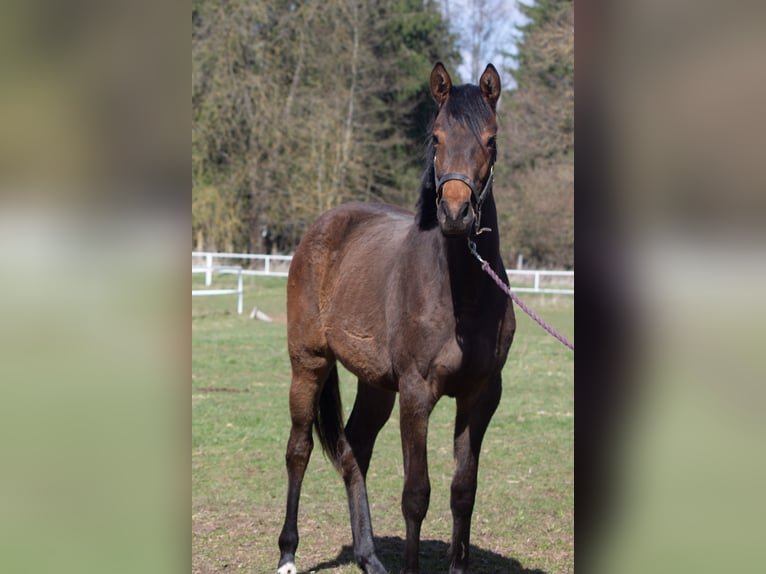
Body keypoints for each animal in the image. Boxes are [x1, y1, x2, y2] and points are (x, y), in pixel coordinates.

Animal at [277, 62, 516, 574]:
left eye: (491, 140)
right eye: (436, 136)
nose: (455, 213)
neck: (460, 292)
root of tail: (323, 227)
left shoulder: (482, 396)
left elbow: (463, 492)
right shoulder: (416, 394)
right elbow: (416, 495)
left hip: (375, 385)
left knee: (354, 451)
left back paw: (368, 556)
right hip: (309, 364)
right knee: (299, 450)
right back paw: (287, 553)